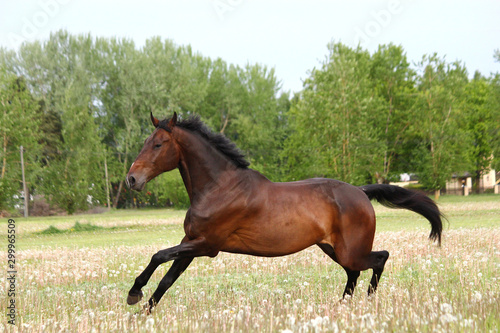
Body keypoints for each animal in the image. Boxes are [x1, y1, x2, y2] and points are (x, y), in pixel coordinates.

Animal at [125, 113, 442, 310]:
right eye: (145, 142)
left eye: (158, 144)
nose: (132, 180)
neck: (219, 187)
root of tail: (361, 192)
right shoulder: (191, 243)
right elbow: (167, 279)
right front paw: (142, 311)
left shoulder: (207, 245)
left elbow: (158, 256)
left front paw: (133, 293)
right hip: (334, 249)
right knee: (354, 272)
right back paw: (343, 307)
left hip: (351, 250)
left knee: (379, 259)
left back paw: (367, 300)